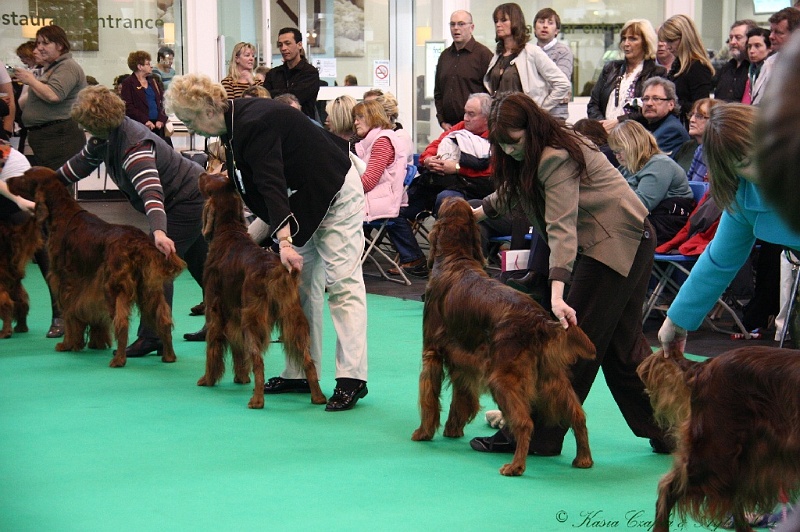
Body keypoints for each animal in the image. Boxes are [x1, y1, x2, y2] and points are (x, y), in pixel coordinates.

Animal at [7, 168, 184, 368]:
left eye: (24, 176)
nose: (8, 180)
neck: (62, 213)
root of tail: (138, 242)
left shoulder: (66, 281)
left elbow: (69, 313)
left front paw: (68, 344)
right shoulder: (91, 286)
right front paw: (96, 343)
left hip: (114, 288)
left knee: (122, 323)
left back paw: (119, 359)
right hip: (148, 289)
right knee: (163, 320)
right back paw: (168, 356)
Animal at [198, 172, 328, 410]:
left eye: (209, 179)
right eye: (216, 176)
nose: (201, 173)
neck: (229, 229)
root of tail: (275, 271)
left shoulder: (215, 309)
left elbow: (214, 345)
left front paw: (208, 379)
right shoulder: (234, 314)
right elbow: (237, 349)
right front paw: (241, 377)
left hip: (253, 320)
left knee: (257, 359)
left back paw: (257, 400)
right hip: (293, 319)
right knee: (308, 360)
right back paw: (318, 397)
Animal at [412, 197, 592, 476]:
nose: (443, 198)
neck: (455, 258)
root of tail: (539, 319)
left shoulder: (432, 352)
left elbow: (429, 398)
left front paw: (423, 432)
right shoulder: (462, 358)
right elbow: (461, 397)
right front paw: (453, 430)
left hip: (501, 378)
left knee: (525, 422)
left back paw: (515, 466)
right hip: (551, 378)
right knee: (578, 415)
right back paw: (583, 459)